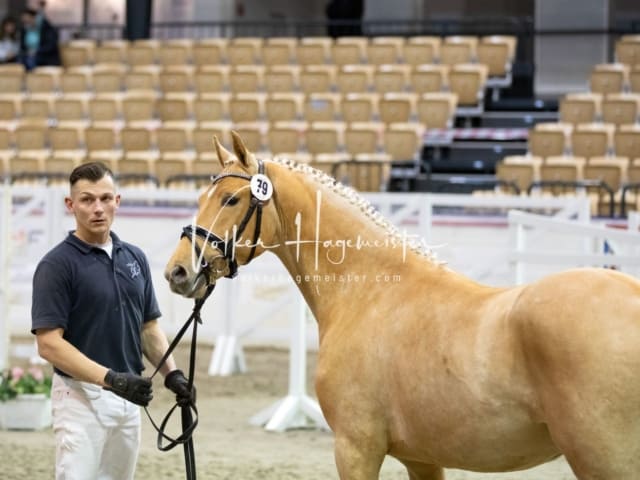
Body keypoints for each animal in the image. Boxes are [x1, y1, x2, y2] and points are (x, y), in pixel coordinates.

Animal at [164, 129, 640, 478]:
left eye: (231, 199)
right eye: (201, 198)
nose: (178, 271)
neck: (370, 294)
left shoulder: (356, 449)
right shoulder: (422, 459)